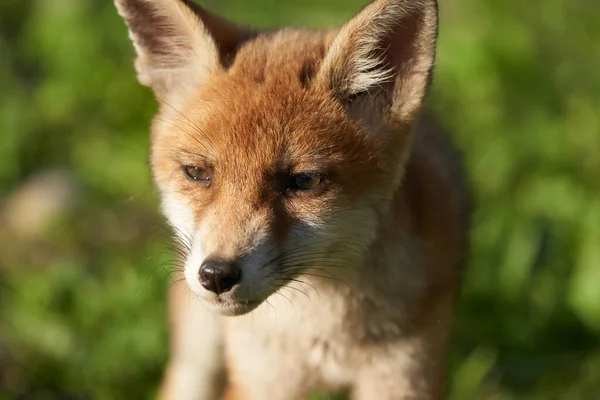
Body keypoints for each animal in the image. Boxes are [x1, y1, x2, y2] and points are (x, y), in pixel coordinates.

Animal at [115, 0, 472, 398]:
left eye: (304, 181)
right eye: (196, 172)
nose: (217, 275)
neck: (322, 335)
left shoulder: (405, 374)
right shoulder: (262, 379)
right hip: (199, 344)